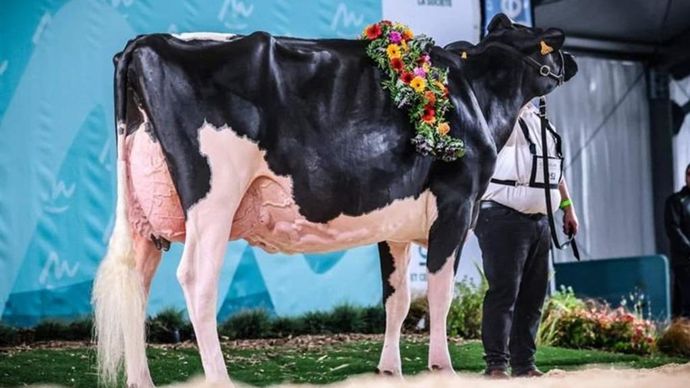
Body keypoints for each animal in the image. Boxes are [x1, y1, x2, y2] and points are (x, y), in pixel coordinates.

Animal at [92, 13, 576, 386]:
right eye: (552, 47)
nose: (571, 61)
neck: (476, 94)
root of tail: (145, 43)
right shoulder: (457, 206)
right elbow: (440, 295)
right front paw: (442, 369)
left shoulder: (395, 227)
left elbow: (398, 300)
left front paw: (389, 371)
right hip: (214, 196)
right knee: (196, 280)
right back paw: (219, 377)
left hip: (144, 212)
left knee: (137, 282)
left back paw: (141, 380)